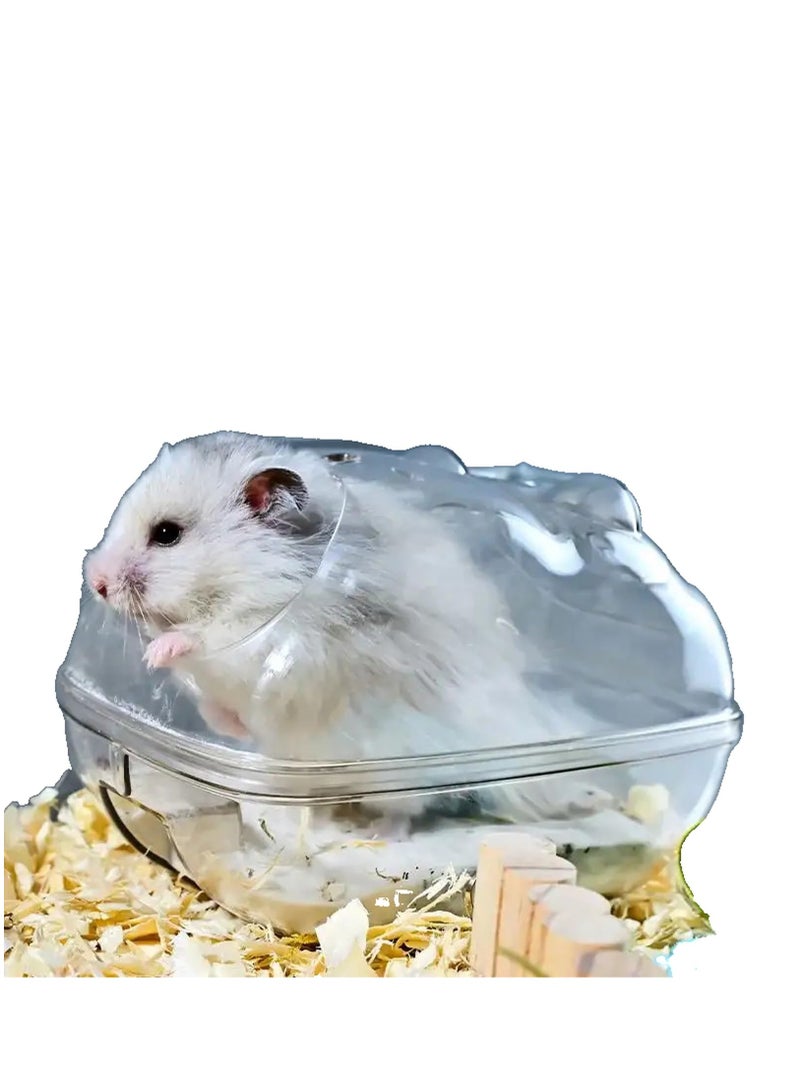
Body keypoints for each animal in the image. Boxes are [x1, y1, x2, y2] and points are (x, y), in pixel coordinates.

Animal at [84, 432, 615, 824]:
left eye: (167, 534)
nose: (96, 583)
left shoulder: (269, 639)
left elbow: (207, 638)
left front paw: (157, 652)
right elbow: (217, 706)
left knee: (409, 810)